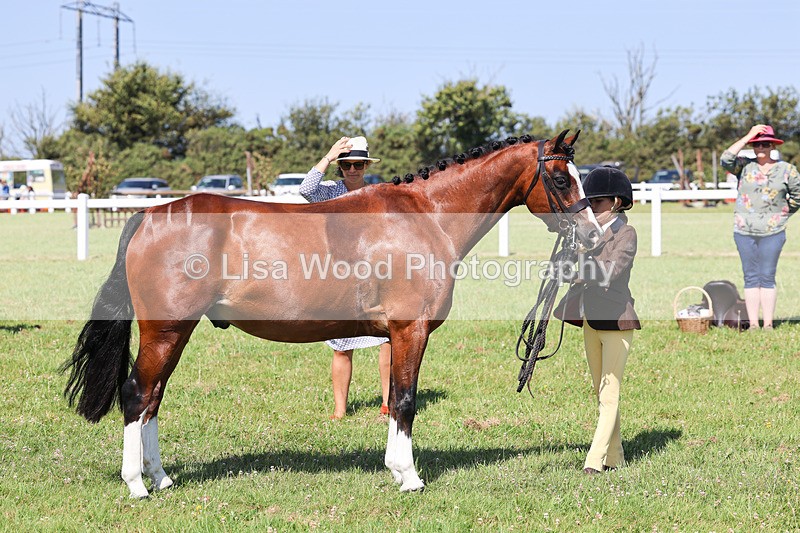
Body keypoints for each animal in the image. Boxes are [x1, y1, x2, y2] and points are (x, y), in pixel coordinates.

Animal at [62, 130, 601, 498]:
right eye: (560, 178)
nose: (594, 235)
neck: (426, 214)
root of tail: (150, 216)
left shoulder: (396, 335)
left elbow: (396, 400)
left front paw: (396, 469)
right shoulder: (411, 330)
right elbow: (406, 401)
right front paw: (409, 477)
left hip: (175, 333)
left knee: (153, 398)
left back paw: (161, 477)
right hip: (165, 331)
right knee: (137, 394)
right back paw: (137, 484)